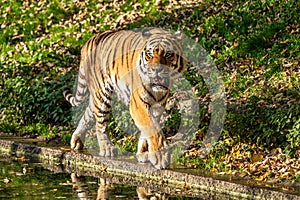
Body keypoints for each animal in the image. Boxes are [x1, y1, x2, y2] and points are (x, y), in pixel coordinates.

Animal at [64, 27, 186, 169]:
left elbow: (148, 130)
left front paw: (143, 153)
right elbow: (152, 128)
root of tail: (88, 41)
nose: (156, 69)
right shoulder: (138, 104)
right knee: (100, 124)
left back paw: (76, 140)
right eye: (149, 55)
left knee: (88, 115)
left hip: (96, 95)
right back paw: (107, 148)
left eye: (168, 54)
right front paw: (160, 157)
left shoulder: (157, 106)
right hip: (102, 94)